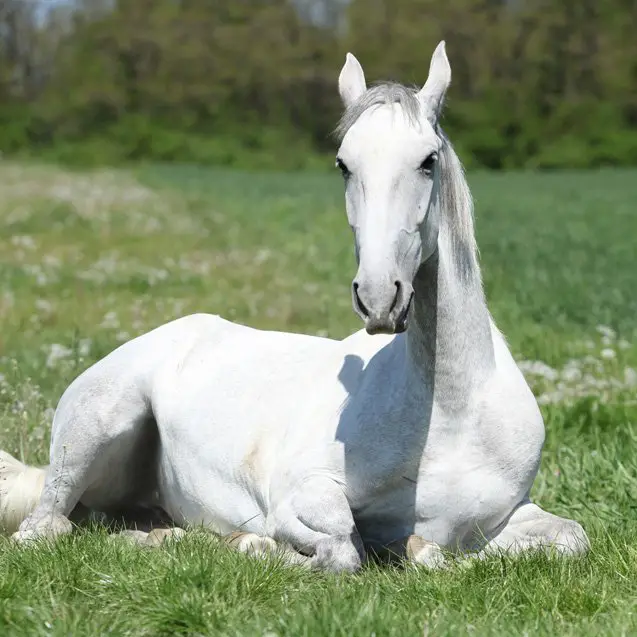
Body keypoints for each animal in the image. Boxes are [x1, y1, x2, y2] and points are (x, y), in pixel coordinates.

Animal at [0, 43, 588, 572]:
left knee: (122, 526)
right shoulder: (300, 496)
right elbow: (343, 548)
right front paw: (266, 547)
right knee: (46, 528)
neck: (453, 413)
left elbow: (566, 538)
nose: (379, 298)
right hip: (95, 431)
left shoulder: (510, 516)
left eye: (428, 161)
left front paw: (417, 550)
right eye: (343, 165)